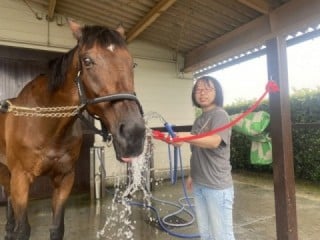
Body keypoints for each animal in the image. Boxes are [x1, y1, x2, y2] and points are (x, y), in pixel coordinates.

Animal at [0, 19, 146, 239]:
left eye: (132, 63)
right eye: (87, 61)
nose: (133, 133)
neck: (46, 125)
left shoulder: (65, 178)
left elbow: (57, 228)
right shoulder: (21, 179)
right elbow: (23, 229)